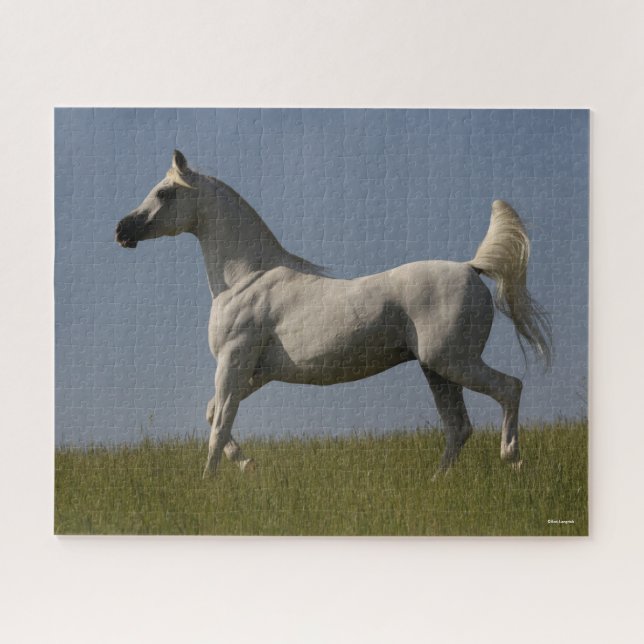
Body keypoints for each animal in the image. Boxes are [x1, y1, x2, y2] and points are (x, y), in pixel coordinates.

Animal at [115, 150, 552, 479]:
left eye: (164, 192)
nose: (122, 230)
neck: (246, 278)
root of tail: (471, 267)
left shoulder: (233, 363)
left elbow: (220, 424)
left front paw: (208, 482)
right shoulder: (257, 373)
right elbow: (212, 415)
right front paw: (248, 464)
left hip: (453, 361)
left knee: (509, 389)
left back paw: (512, 458)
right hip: (437, 370)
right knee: (459, 427)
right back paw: (436, 481)